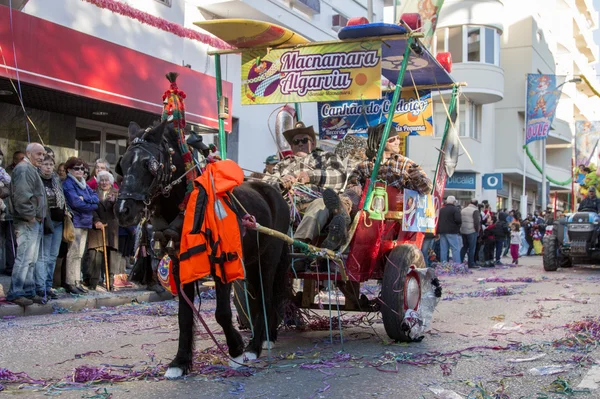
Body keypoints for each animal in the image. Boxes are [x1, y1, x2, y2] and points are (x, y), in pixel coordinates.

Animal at [115, 120, 290, 376]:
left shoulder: (222, 263)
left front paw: (236, 350)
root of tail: (277, 193)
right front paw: (180, 362)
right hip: (250, 261)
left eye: (150, 165)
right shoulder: (180, 265)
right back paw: (267, 337)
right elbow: (184, 316)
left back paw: (254, 346)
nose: (123, 210)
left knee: (267, 298)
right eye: (123, 164)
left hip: (269, 259)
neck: (190, 204)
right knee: (258, 299)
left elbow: (222, 313)